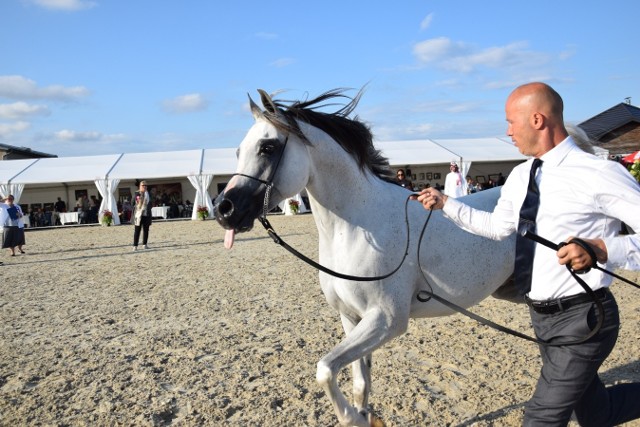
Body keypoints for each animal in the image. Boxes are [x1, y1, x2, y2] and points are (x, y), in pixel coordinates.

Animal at [214, 88, 516, 426]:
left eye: (267, 147)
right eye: (238, 151)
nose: (224, 210)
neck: (356, 227)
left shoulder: (385, 320)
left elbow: (325, 370)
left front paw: (353, 418)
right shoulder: (352, 317)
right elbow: (360, 383)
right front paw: (365, 415)